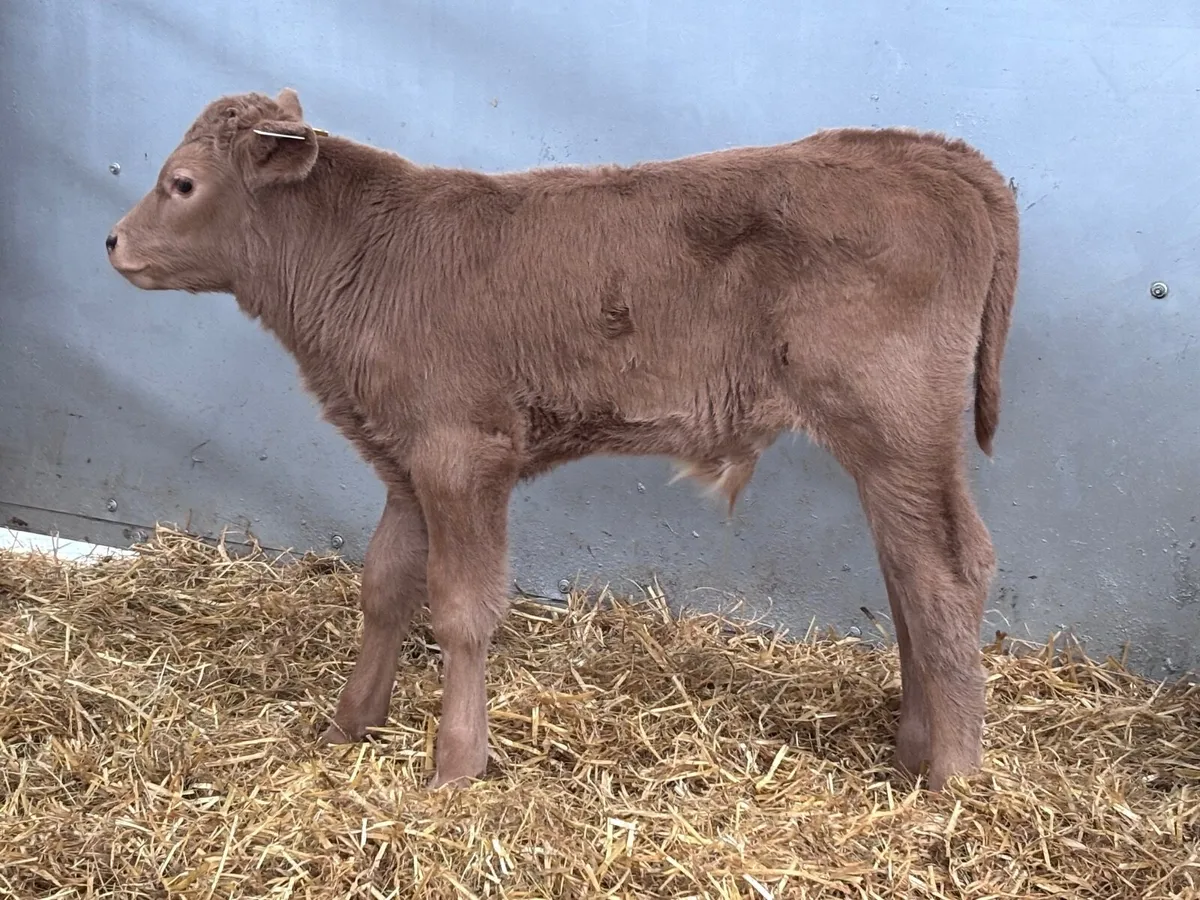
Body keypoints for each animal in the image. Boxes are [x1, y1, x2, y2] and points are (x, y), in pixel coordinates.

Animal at [106, 88, 1019, 792]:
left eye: (181, 183)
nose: (112, 241)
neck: (367, 254)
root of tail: (926, 154)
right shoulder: (404, 460)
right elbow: (386, 585)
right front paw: (349, 724)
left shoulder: (463, 452)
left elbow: (462, 608)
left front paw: (455, 764)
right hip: (891, 447)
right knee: (908, 574)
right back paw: (912, 753)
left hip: (897, 426)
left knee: (948, 569)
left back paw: (955, 778)